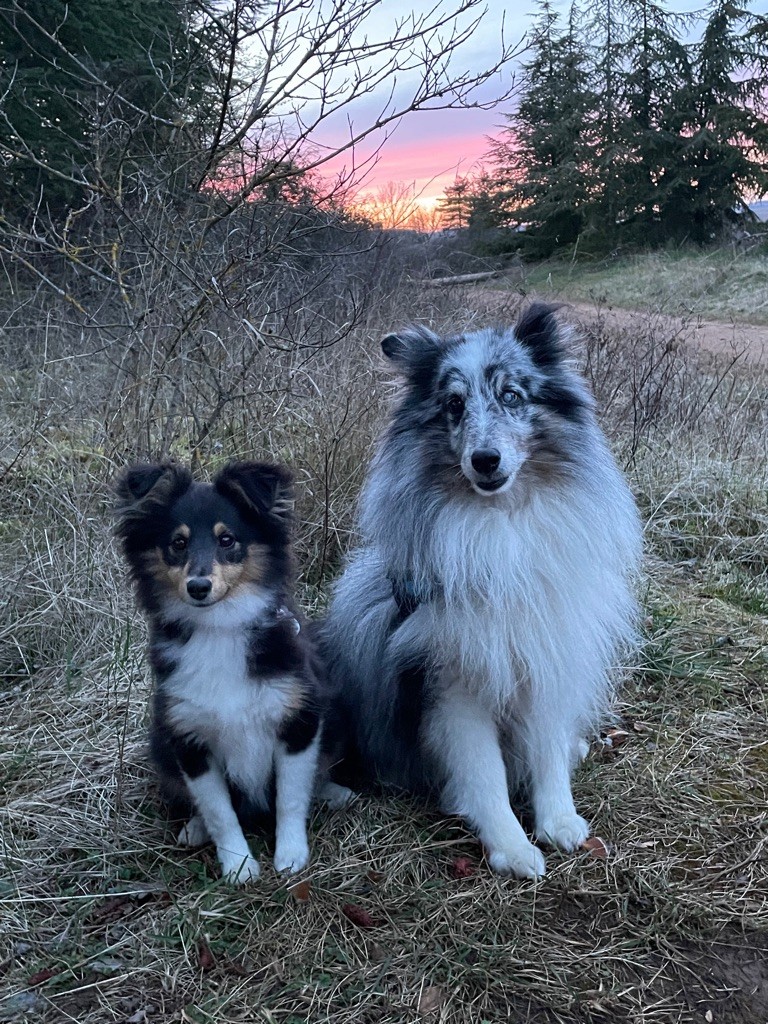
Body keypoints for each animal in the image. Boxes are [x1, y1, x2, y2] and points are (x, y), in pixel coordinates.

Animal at [115, 460, 339, 884]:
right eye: (178, 543)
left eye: (227, 539)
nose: (198, 586)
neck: (219, 629)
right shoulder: (188, 739)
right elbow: (220, 811)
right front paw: (239, 865)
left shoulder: (298, 721)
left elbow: (291, 796)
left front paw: (291, 856)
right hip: (160, 744)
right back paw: (195, 828)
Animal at [319, 303, 643, 880]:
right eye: (454, 404)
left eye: (511, 395)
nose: (485, 460)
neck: (501, 524)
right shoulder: (454, 686)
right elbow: (485, 776)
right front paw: (511, 848)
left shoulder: (546, 655)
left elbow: (546, 751)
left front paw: (560, 822)